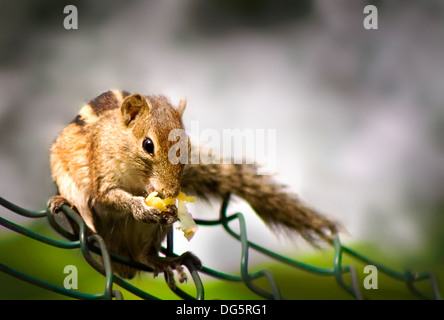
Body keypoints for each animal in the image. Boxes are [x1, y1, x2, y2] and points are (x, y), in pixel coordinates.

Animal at [48, 89, 338, 288]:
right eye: (148, 145)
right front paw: (141, 207)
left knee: (144, 255)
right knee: (84, 215)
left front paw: (169, 209)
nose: (169, 192)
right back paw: (67, 208)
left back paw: (169, 261)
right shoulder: (102, 173)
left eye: (186, 147)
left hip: (149, 237)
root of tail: (121, 265)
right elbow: (108, 197)